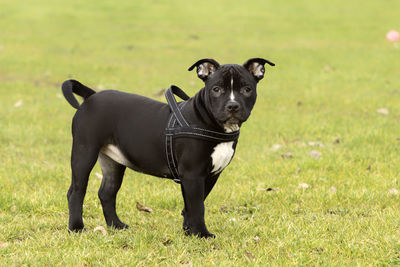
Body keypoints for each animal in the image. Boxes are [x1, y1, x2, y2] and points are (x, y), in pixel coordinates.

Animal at [62, 58, 276, 239]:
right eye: (216, 89)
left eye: (247, 89)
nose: (233, 106)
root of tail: (91, 95)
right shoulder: (192, 173)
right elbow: (197, 206)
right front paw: (201, 234)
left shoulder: (210, 175)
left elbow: (193, 204)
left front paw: (189, 231)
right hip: (84, 151)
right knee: (76, 191)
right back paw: (76, 228)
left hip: (113, 160)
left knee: (107, 192)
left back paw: (117, 225)